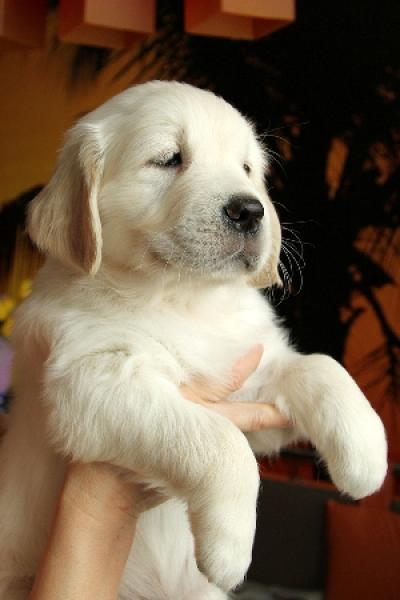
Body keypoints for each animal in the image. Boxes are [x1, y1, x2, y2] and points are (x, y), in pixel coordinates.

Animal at [0, 81, 387, 599]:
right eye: (169, 159)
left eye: (246, 169)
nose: (251, 210)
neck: (183, 298)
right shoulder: (90, 380)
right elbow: (220, 442)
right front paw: (229, 548)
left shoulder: (252, 385)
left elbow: (319, 365)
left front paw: (366, 455)